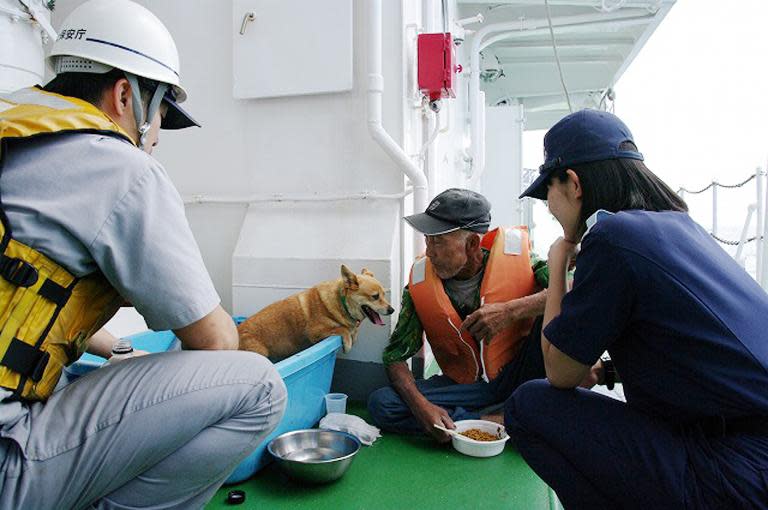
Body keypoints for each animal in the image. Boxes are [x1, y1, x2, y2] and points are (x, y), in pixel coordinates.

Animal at [240, 264, 396, 360]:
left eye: (384, 295)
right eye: (375, 296)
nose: (392, 310)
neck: (341, 303)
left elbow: (351, 331)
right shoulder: (315, 332)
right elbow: (343, 330)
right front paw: (347, 344)